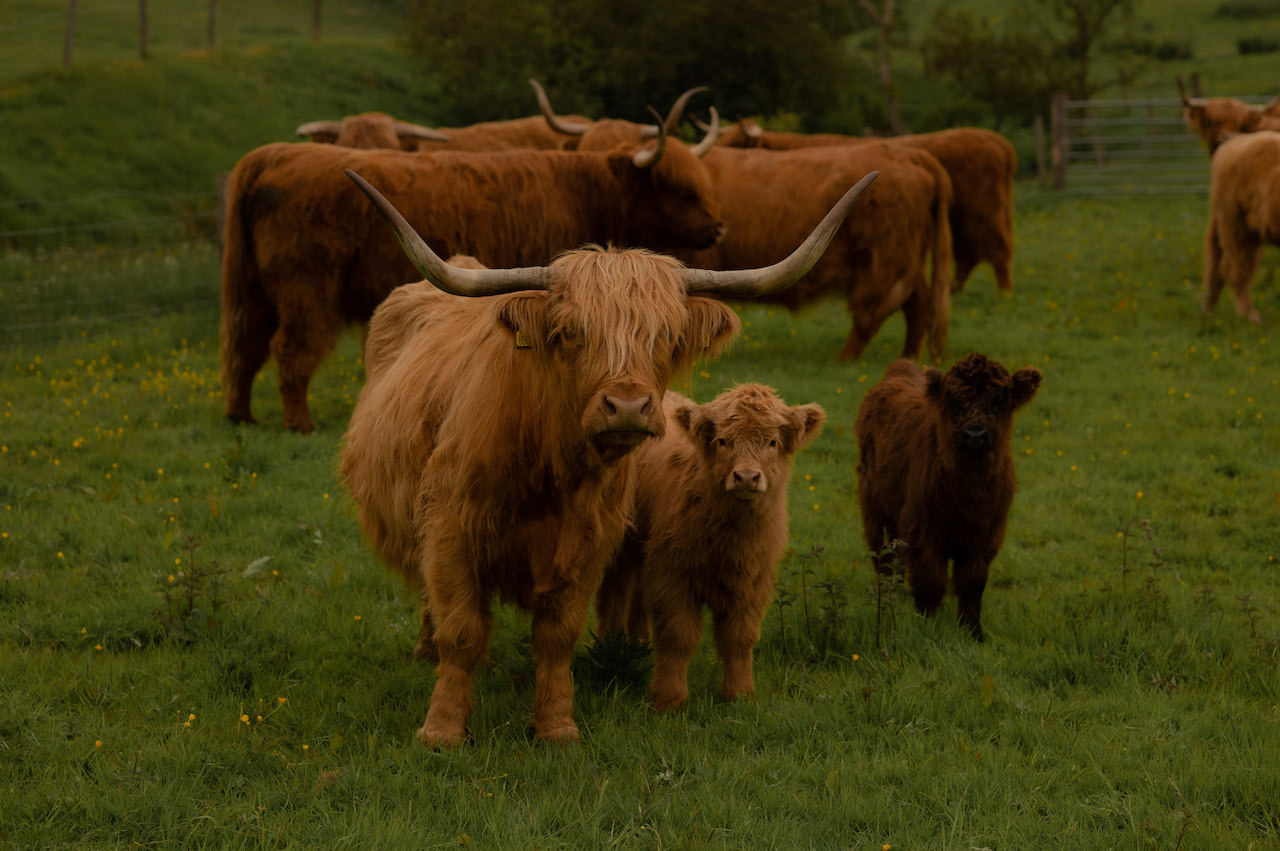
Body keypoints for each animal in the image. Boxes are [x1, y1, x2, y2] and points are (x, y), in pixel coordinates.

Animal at [220, 124, 727, 433]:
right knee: (290, 349)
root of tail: (272, 154)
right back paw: (300, 424)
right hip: (306, 288)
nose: (718, 227)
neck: (583, 190)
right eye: (681, 189)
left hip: (253, 288)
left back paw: (241, 416)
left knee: (246, 346)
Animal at [594, 384, 825, 711]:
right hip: (618, 546)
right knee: (613, 597)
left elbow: (739, 638)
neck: (731, 540)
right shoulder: (672, 578)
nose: (746, 477)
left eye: (772, 441)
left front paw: (740, 695)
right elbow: (678, 636)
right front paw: (669, 699)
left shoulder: (751, 585)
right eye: (723, 440)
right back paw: (610, 649)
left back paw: (637, 643)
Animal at [704, 119, 1016, 294]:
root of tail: (999, 142)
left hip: (982, 215)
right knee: (970, 256)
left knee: (997, 250)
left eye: (735, 141)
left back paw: (1004, 294)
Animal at [854, 353, 1041, 641]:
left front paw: (973, 631)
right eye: (953, 401)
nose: (975, 435)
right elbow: (931, 582)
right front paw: (926, 626)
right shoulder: (923, 534)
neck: (969, 492)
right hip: (876, 512)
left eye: (999, 401)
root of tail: (901, 368)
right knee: (885, 562)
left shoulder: (986, 537)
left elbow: (972, 584)